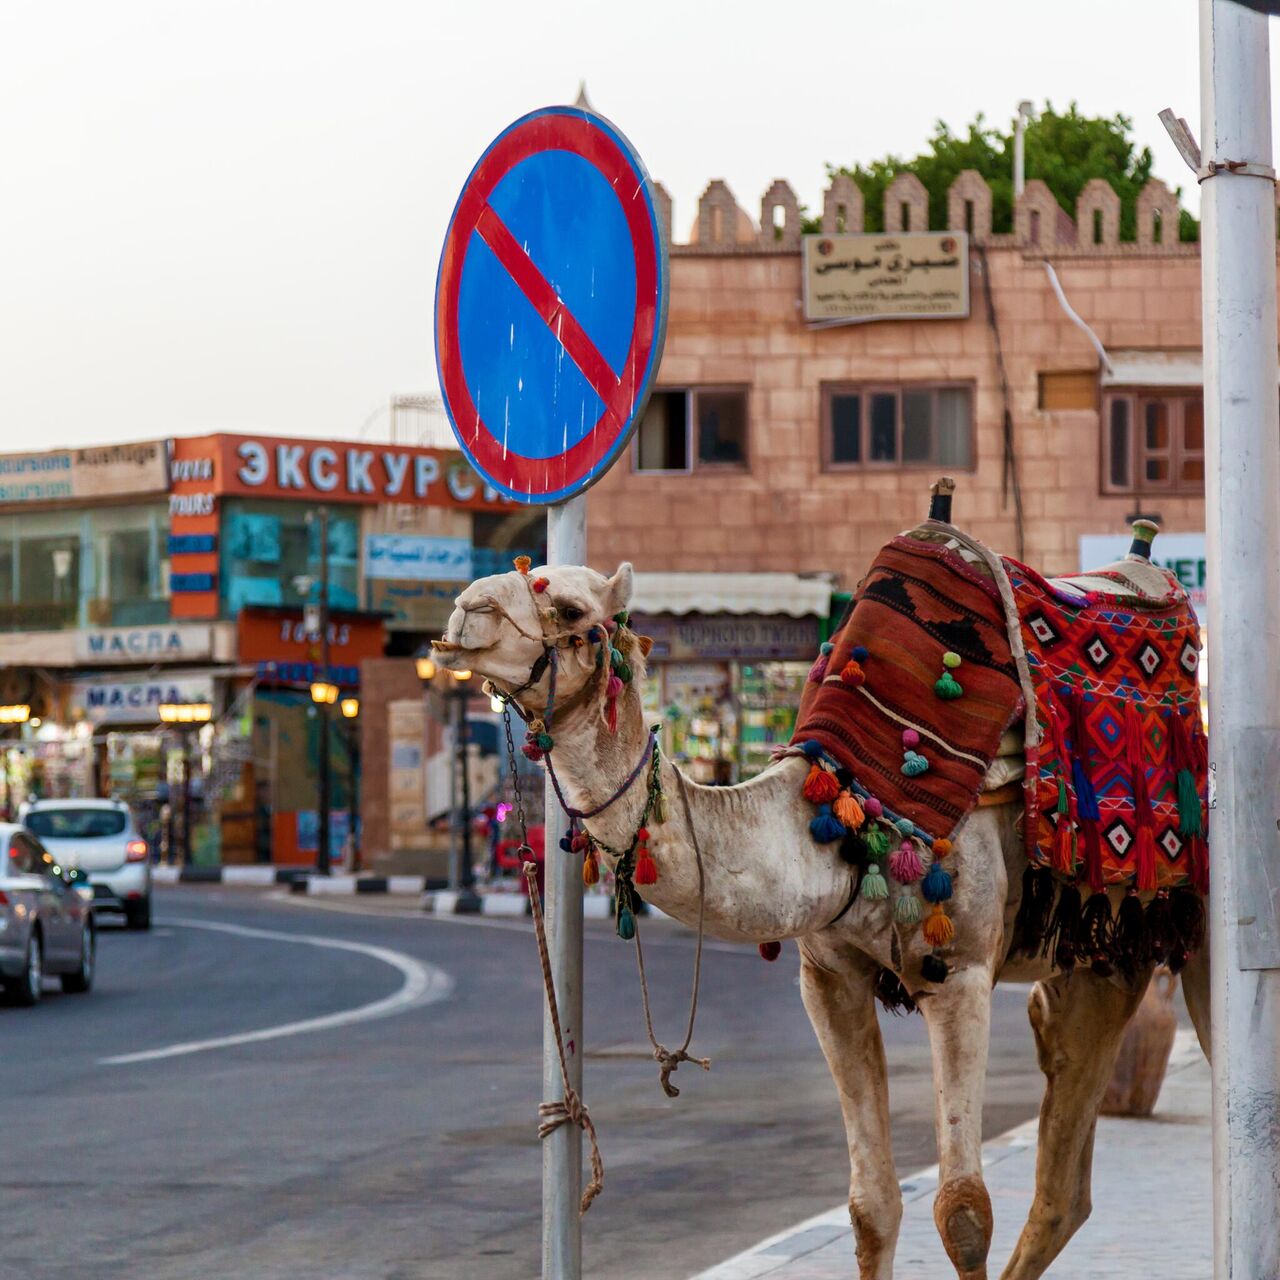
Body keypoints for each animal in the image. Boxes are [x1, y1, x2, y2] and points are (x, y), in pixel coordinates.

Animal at [432, 560, 1208, 1280]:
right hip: (1101, 961)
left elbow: (963, 1211)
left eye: (567, 607)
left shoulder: (960, 973)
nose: (465, 611)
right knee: (1063, 1187)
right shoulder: (829, 976)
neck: (842, 814)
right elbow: (871, 1205)